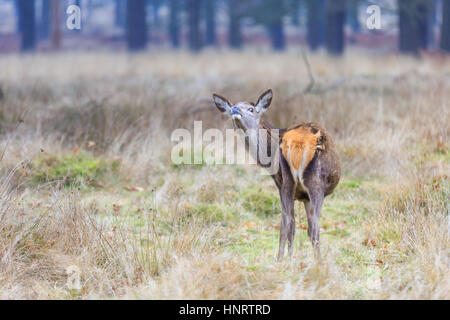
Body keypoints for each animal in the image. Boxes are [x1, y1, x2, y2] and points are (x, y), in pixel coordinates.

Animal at [214, 89, 342, 262]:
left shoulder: (290, 189)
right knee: (304, 224)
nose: (234, 110)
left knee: (295, 222)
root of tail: (298, 143)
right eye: (233, 106)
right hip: (308, 183)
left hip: (294, 183)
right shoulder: (291, 189)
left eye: (251, 109)